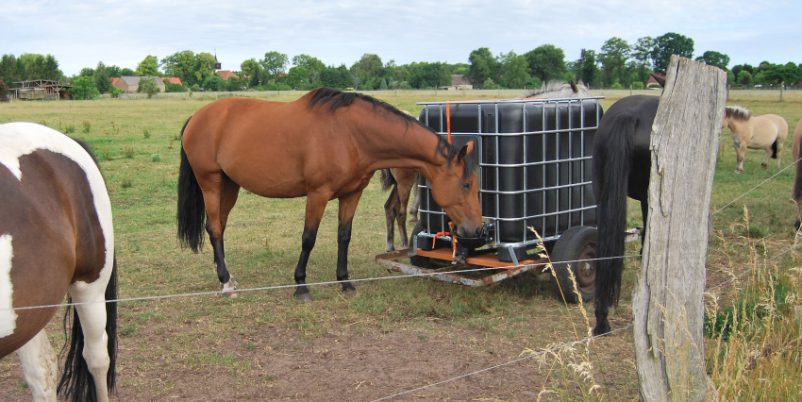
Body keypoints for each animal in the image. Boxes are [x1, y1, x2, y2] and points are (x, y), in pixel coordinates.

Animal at [177, 88, 482, 302]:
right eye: (466, 184)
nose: (477, 229)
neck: (350, 134)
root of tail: (196, 118)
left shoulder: (352, 194)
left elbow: (343, 236)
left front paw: (345, 282)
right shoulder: (318, 193)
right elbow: (308, 238)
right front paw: (301, 286)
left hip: (230, 185)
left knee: (220, 227)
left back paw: (226, 278)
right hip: (210, 183)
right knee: (215, 228)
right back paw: (226, 282)